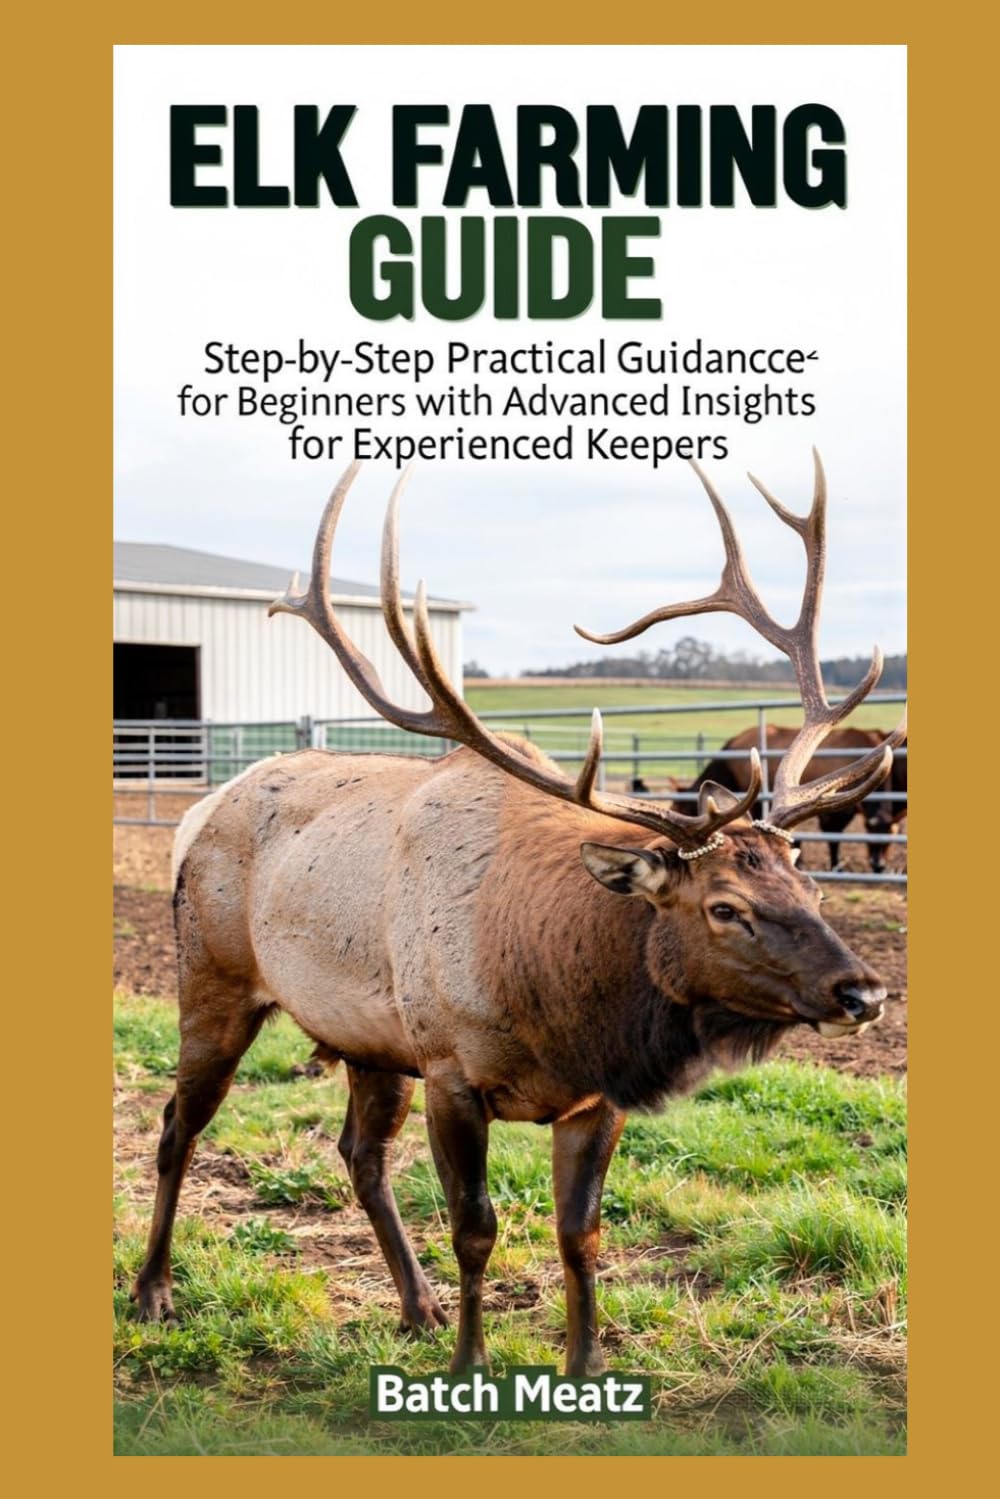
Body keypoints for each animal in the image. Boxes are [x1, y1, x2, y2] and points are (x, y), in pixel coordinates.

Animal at [132, 452, 906, 1378]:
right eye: (725, 905)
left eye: (809, 885)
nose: (865, 991)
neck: (556, 1001)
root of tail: (196, 811)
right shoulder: (452, 1069)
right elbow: (476, 1228)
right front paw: (471, 1363)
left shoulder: (591, 1096)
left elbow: (581, 1235)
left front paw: (585, 1365)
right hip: (214, 980)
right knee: (177, 1124)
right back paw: (153, 1291)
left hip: (372, 1039)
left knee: (360, 1155)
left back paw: (417, 1305)